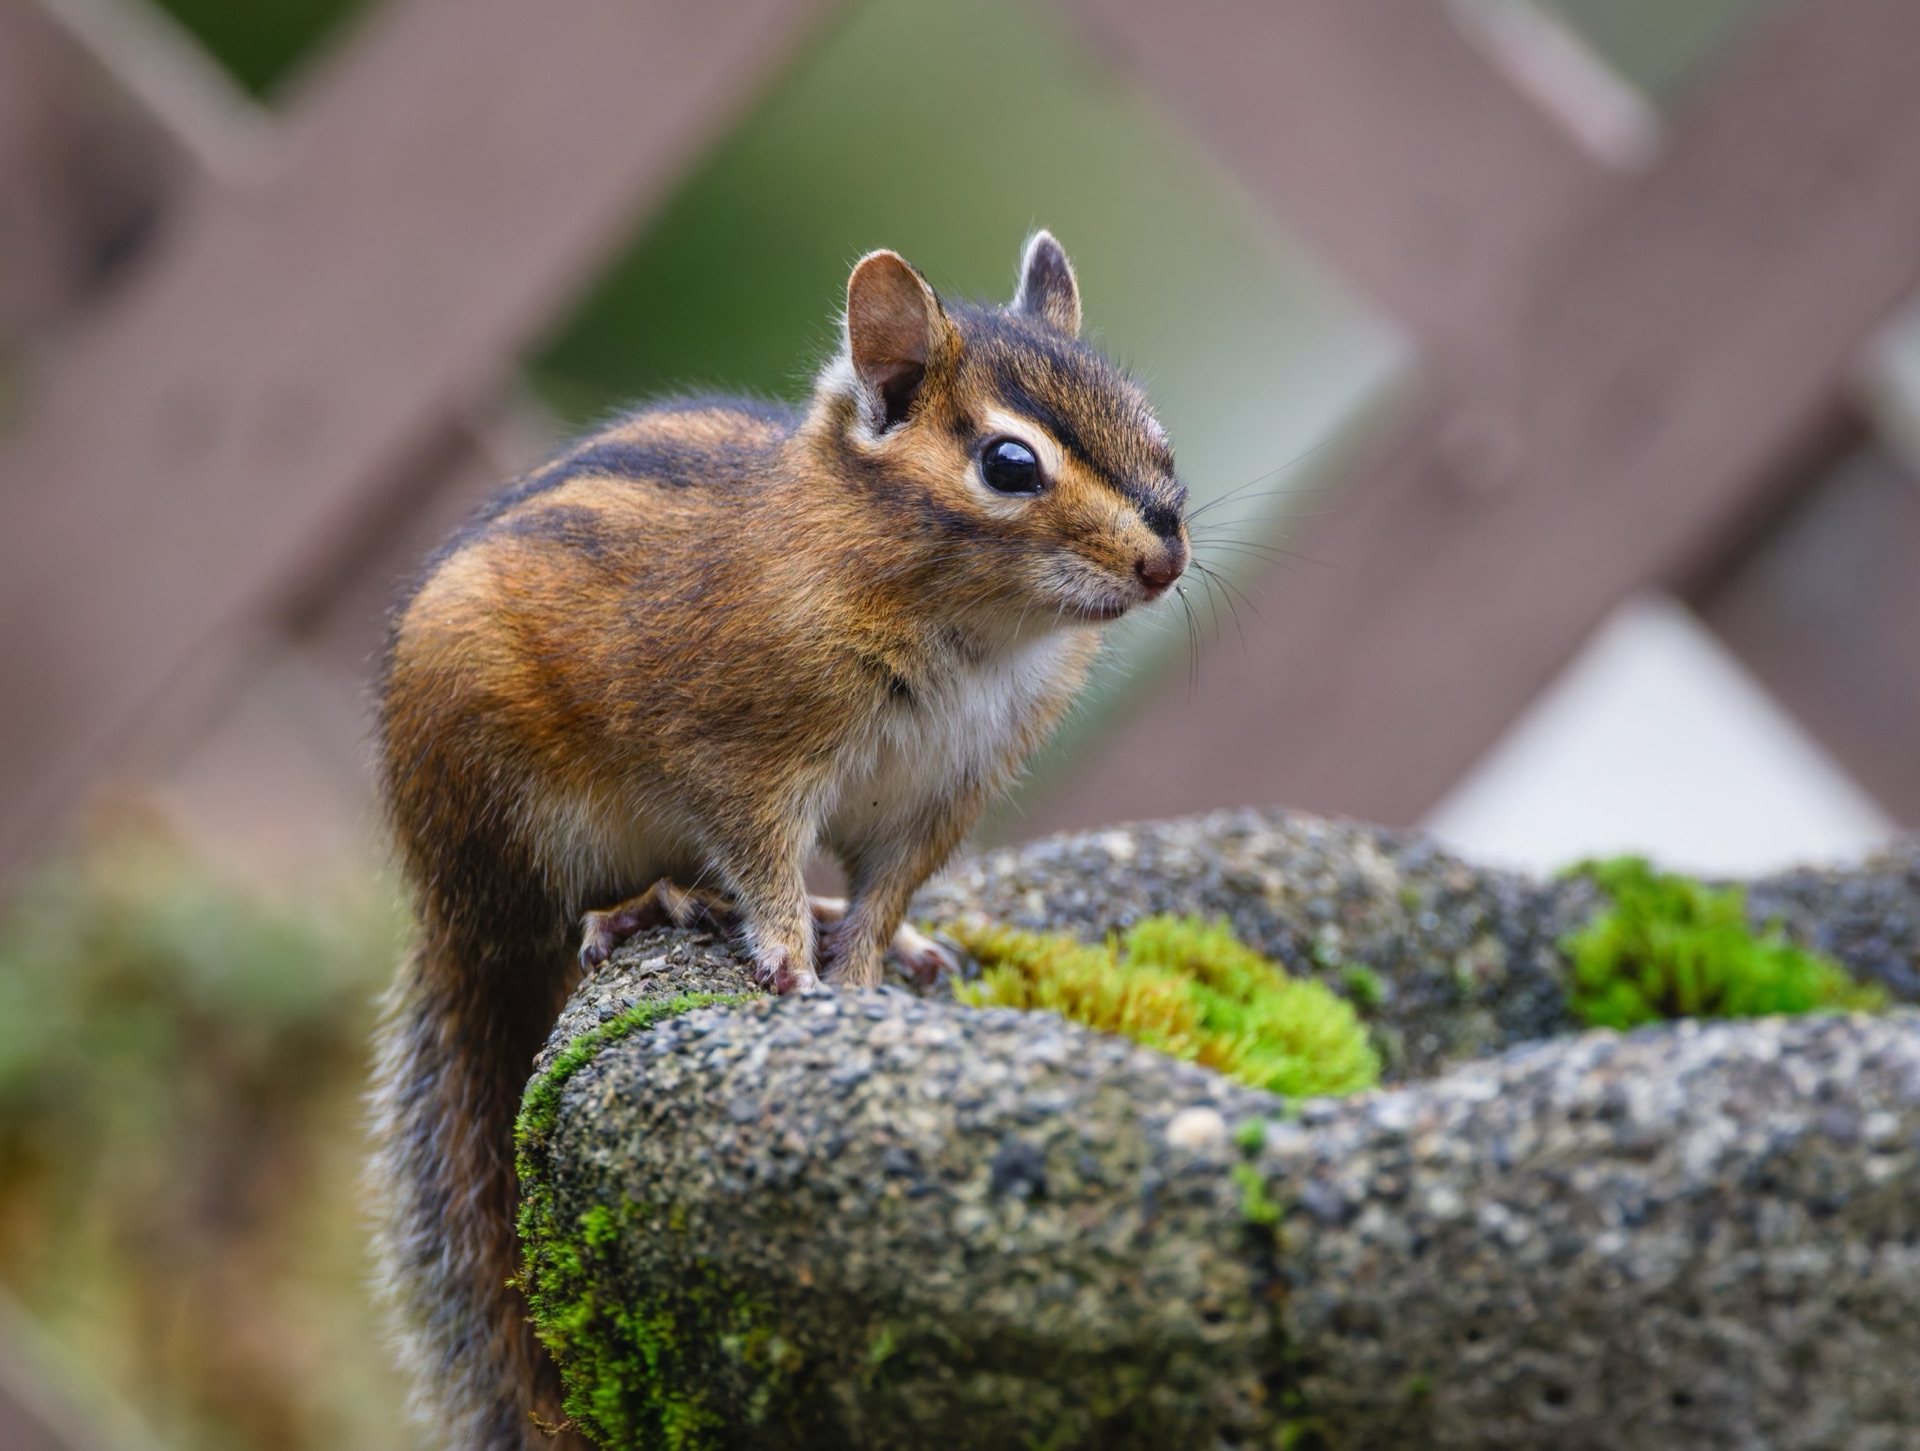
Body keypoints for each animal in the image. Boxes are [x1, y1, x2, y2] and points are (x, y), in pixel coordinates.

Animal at [367, 232, 1189, 1450]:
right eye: (1009, 464)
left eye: (1151, 428)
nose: (1164, 561)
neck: (974, 636)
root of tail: (442, 911)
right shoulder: (739, 758)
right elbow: (760, 861)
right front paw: (794, 960)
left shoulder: (939, 801)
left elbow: (888, 891)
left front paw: (865, 968)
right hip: (508, 807)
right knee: (557, 921)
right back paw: (647, 903)